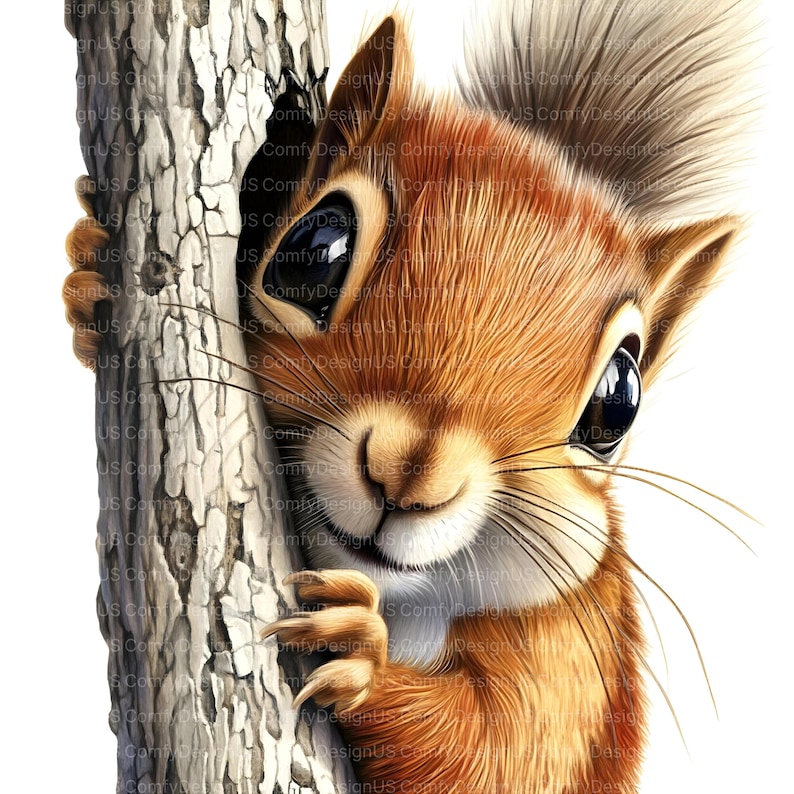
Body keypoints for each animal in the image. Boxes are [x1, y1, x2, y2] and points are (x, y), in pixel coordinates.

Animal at [63, 1, 758, 791]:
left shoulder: (572, 655)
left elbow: (495, 756)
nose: (407, 475)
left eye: (620, 400)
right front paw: (90, 267)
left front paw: (360, 655)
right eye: (312, 251)